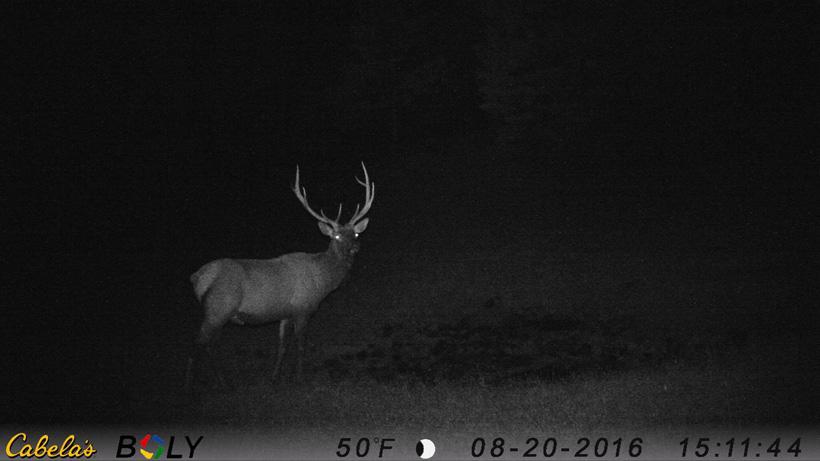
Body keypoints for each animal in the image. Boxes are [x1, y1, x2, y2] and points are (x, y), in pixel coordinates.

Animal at [184, 162, 374, 392]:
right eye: (337, 236)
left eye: (355, 234)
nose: (355, 247)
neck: (323, 282)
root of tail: (197, 277)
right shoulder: (303, 308)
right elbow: (300, 345)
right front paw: (299, 378)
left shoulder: (286, 313)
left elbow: (282, 345)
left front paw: (275, 378)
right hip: (217, 309)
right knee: (197, 345)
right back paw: (190, 387)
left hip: (220, 314)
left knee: (209, 346)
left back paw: (223, 383)